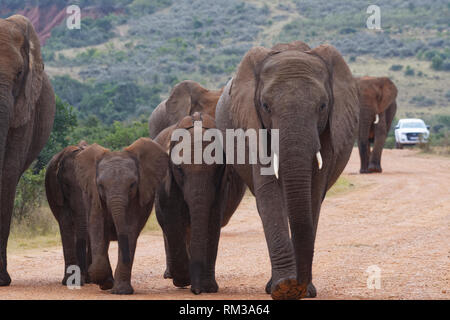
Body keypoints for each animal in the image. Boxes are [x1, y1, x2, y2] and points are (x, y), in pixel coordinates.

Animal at [74, 139, 168, 294]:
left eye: (132, 185)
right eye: (100, 185)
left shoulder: (137, 198)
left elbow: (130, 229)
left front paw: (121, 291)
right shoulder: (94, 197)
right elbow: (97, 227)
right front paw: (103, 281)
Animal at [216, 41, 360, 298]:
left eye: (323, 106)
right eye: (265, 106)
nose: (299, 285)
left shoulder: (328, 132)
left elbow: (313, 193)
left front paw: (303, 290)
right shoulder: (253, 125)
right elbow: (269, 193)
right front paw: (284, 287)